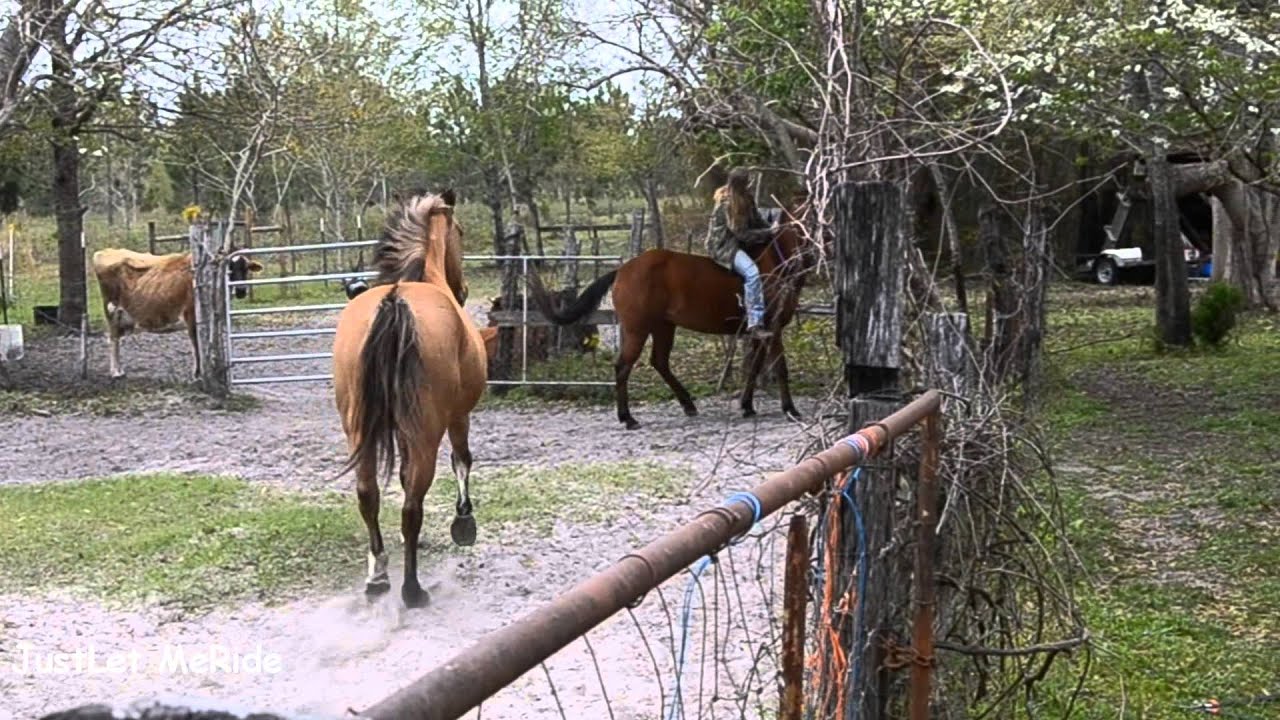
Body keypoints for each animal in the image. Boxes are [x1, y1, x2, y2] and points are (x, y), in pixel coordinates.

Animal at [332, 189, 487, 608]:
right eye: (460, 231)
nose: (464, 290)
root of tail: (394, 301)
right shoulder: (459, 415)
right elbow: (462, 460)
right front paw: (464, 522)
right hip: (425, 433)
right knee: (412, 506)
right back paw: (412, 589)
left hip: (360, 429)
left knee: (368, 495)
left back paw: (378, 576)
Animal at [531, 197, 814, 429]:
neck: (776, 261)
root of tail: (623, 270)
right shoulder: (773, 327)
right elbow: (780, 368)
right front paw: (790, 409)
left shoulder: (760, 332)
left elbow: (754, 368)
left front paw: (747, 406)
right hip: (637, 329)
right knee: (623, 366)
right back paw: (628, 418)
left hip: (663, 326)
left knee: (660, 362)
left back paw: (687, 404)